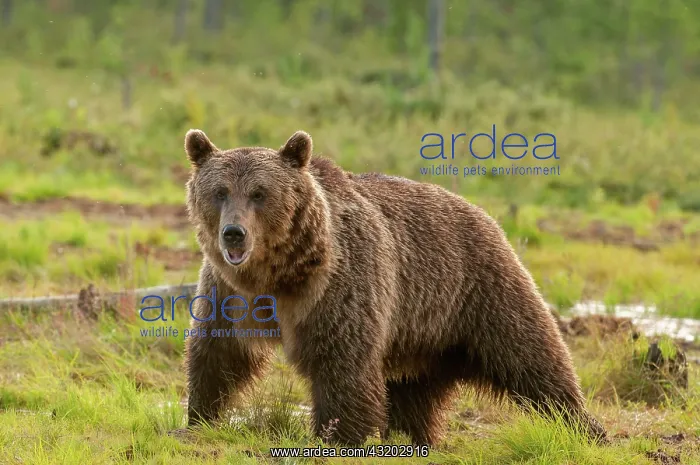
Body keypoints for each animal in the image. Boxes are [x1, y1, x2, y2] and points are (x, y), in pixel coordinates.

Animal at [182, 128, 607, 446]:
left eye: (259, 193)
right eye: (220, 191)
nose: (233, 233)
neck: (278, 275)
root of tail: (483, 214)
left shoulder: (339, 286)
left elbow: (343, 363)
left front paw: (336, 434)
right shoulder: (228, 293)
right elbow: (218, 352)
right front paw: (198, 416)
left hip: (478, 287)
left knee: (531, 355)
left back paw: (583, 426)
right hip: (422, 334)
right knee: (413, 388)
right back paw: (411, 434)